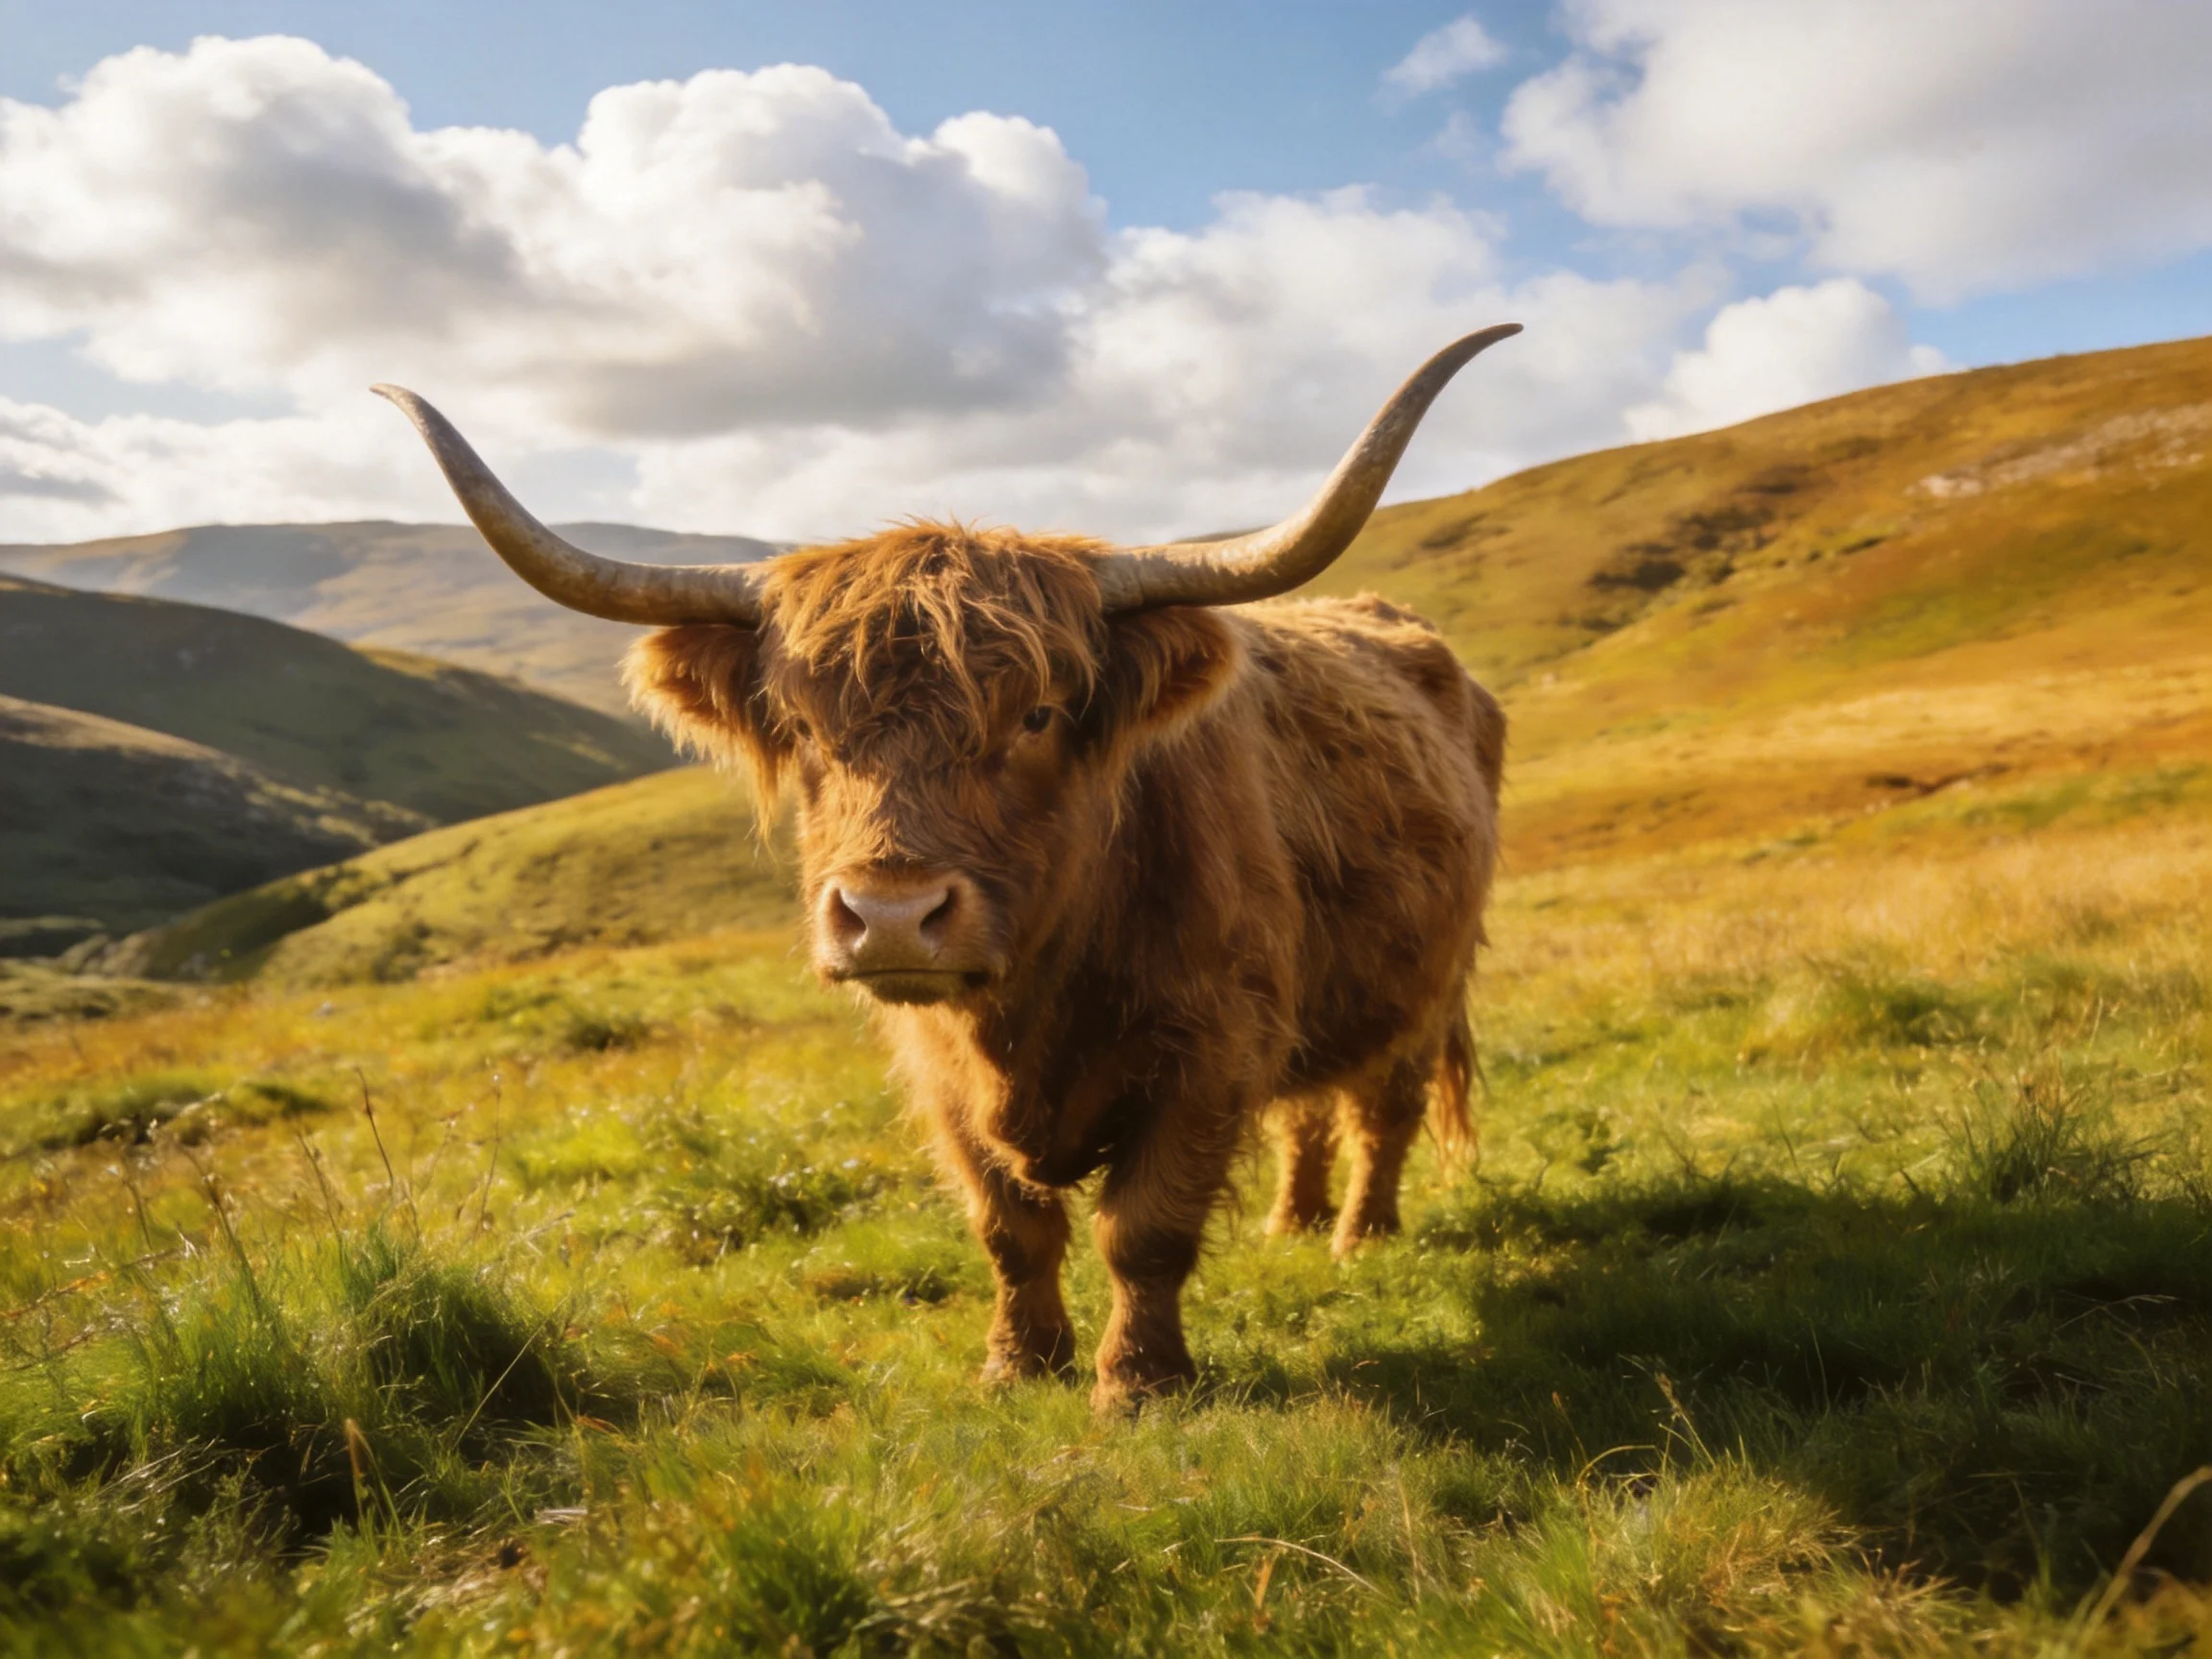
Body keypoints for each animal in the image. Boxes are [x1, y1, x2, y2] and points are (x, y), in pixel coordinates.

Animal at [375, 324, 1516, 1411]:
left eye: (1041, 714)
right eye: (801, 726)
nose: (889, 916)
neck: (1037, 1003)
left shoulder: (1213, 1042)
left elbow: (1143, 1229)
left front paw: (1139, 1384)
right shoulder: (940, 1070)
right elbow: (1010, 1227)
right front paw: (1019, 1364)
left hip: (1430, 978)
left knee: (1383, 1105)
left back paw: (1359, 1236)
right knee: (1309, 1110)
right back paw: (1294, 1221)